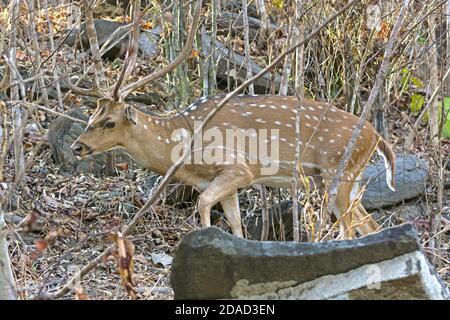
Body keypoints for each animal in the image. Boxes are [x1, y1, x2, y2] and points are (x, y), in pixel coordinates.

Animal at [67, 0, 394, 240]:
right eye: (92, 115)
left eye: (109, 121)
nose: (77, 146)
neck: (183, 145)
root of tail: (376, 137)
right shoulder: (224, 180)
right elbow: (235, 224)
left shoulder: (239, 166)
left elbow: (203, 203)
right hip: (347, 180)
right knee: (370, 225)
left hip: (337, 171)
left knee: (350, 229)